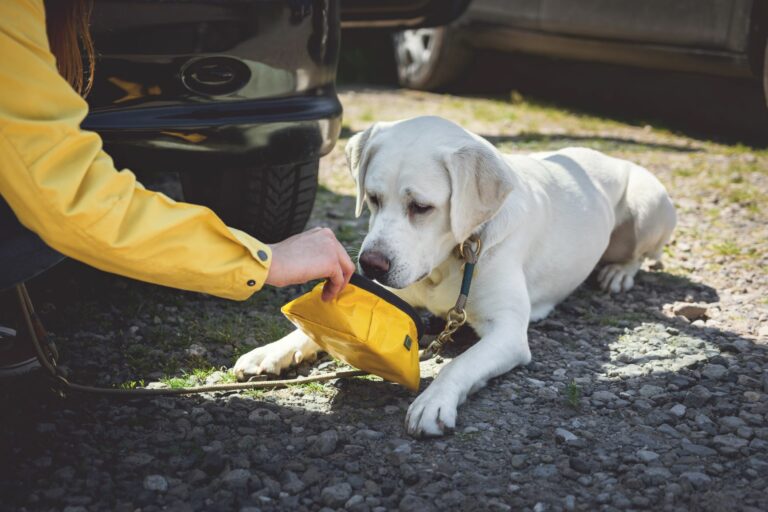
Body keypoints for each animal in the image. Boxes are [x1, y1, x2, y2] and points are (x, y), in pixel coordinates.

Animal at [232, 115, 672, 436]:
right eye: (372, 198)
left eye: (421, 207)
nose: (371, 265)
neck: (452, 259)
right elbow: (306, 331)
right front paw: (272, 350)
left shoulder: (508, 333)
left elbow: (457, 364)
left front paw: (433, 401)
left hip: (649, 205)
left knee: (644, 253)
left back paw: (618, 272)